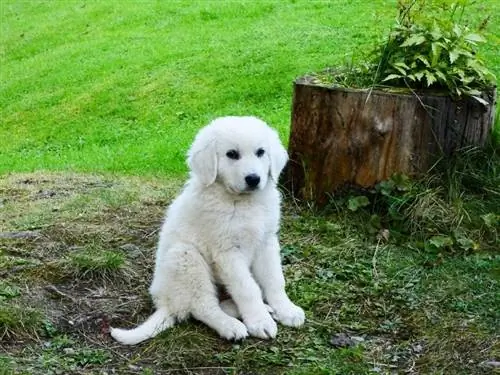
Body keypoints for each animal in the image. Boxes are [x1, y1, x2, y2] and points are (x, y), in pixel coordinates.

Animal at [110, 116, 304, 346]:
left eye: (260, 152)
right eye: (232, 154)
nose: (253, 179)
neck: (242, 203)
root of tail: (166, 303)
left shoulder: (266, 242)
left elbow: (274, 280)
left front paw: (286, 309)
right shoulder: (227, 251)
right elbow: (247, 288)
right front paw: (260, 322)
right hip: (186, 259)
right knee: (202, 307)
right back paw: (231, 326)